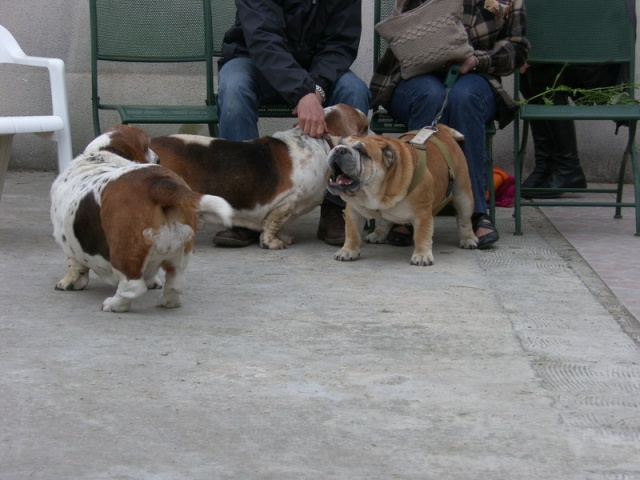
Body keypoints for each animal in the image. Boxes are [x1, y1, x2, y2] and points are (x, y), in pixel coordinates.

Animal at [50, 124, 232, 312]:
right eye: (146, 145)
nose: (158, 159)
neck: (102, 154)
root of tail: (158, 185)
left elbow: (75, 265)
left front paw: (70, 282)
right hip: (182, 251)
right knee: (175, 282)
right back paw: (166, 302)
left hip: (123, 252)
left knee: (133, 287)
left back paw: (114, 304)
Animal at [151, 103, 370, 249]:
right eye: (365, 127)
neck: (320, 142)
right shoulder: (287, 202)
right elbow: (273, 223)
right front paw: (272, 242)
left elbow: (280, 224)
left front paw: (284, 237)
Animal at [328, 125, 478, 264]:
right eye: (338, 144)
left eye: (362, 152)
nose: (340, 149)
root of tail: (440, 128)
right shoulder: (353, 211)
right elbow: (352, 232)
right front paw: (348, 250)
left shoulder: (422, 212)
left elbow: (422, 235)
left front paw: (422, 255)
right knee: (386, 219)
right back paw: (378, 234)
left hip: (463, 195)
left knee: (464, 219)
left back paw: (468, 239)